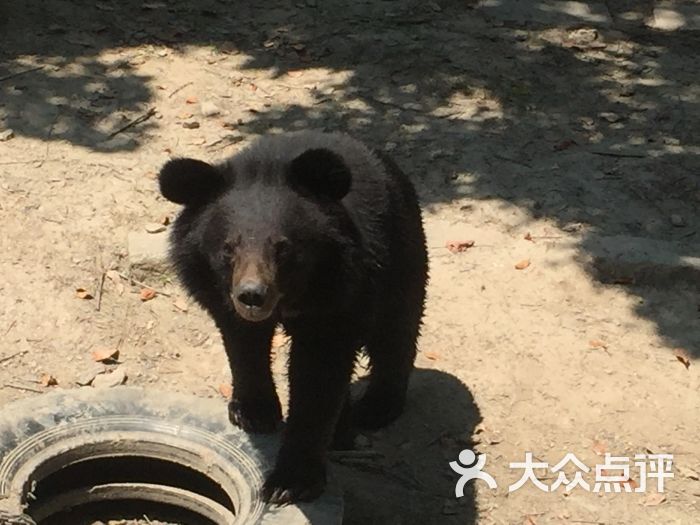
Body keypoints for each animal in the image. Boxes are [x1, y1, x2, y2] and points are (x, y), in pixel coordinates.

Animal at [159, 131, 430, 504]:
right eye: (228, 248)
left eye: (282, 247)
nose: (252, 295)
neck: (293, 296)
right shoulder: (216, 290)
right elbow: (243, 343)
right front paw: (253, 414)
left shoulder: (339, 294)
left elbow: (318, 376)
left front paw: (289, 482)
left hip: (401, 250)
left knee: (395, 329)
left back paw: (375, 408)